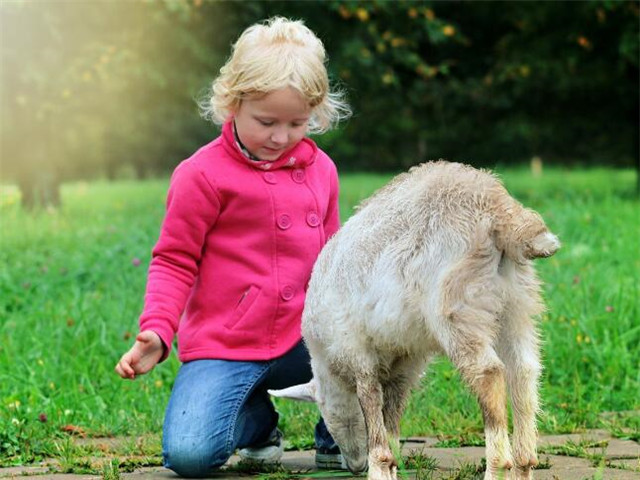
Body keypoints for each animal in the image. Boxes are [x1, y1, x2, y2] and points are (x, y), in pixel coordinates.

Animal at [270, 161, 560, 480]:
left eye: (328, 415)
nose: (356, 465)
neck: (329, 360)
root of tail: (497, 207)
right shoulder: (405, 360)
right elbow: (392, 415)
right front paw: (391, 465)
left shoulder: (356, 350)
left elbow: (372, 405)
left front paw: (378, 467)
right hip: (515, 303)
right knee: (523, 371)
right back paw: (523, 462)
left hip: (457, 306)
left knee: (489, 373)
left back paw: (497, 467)